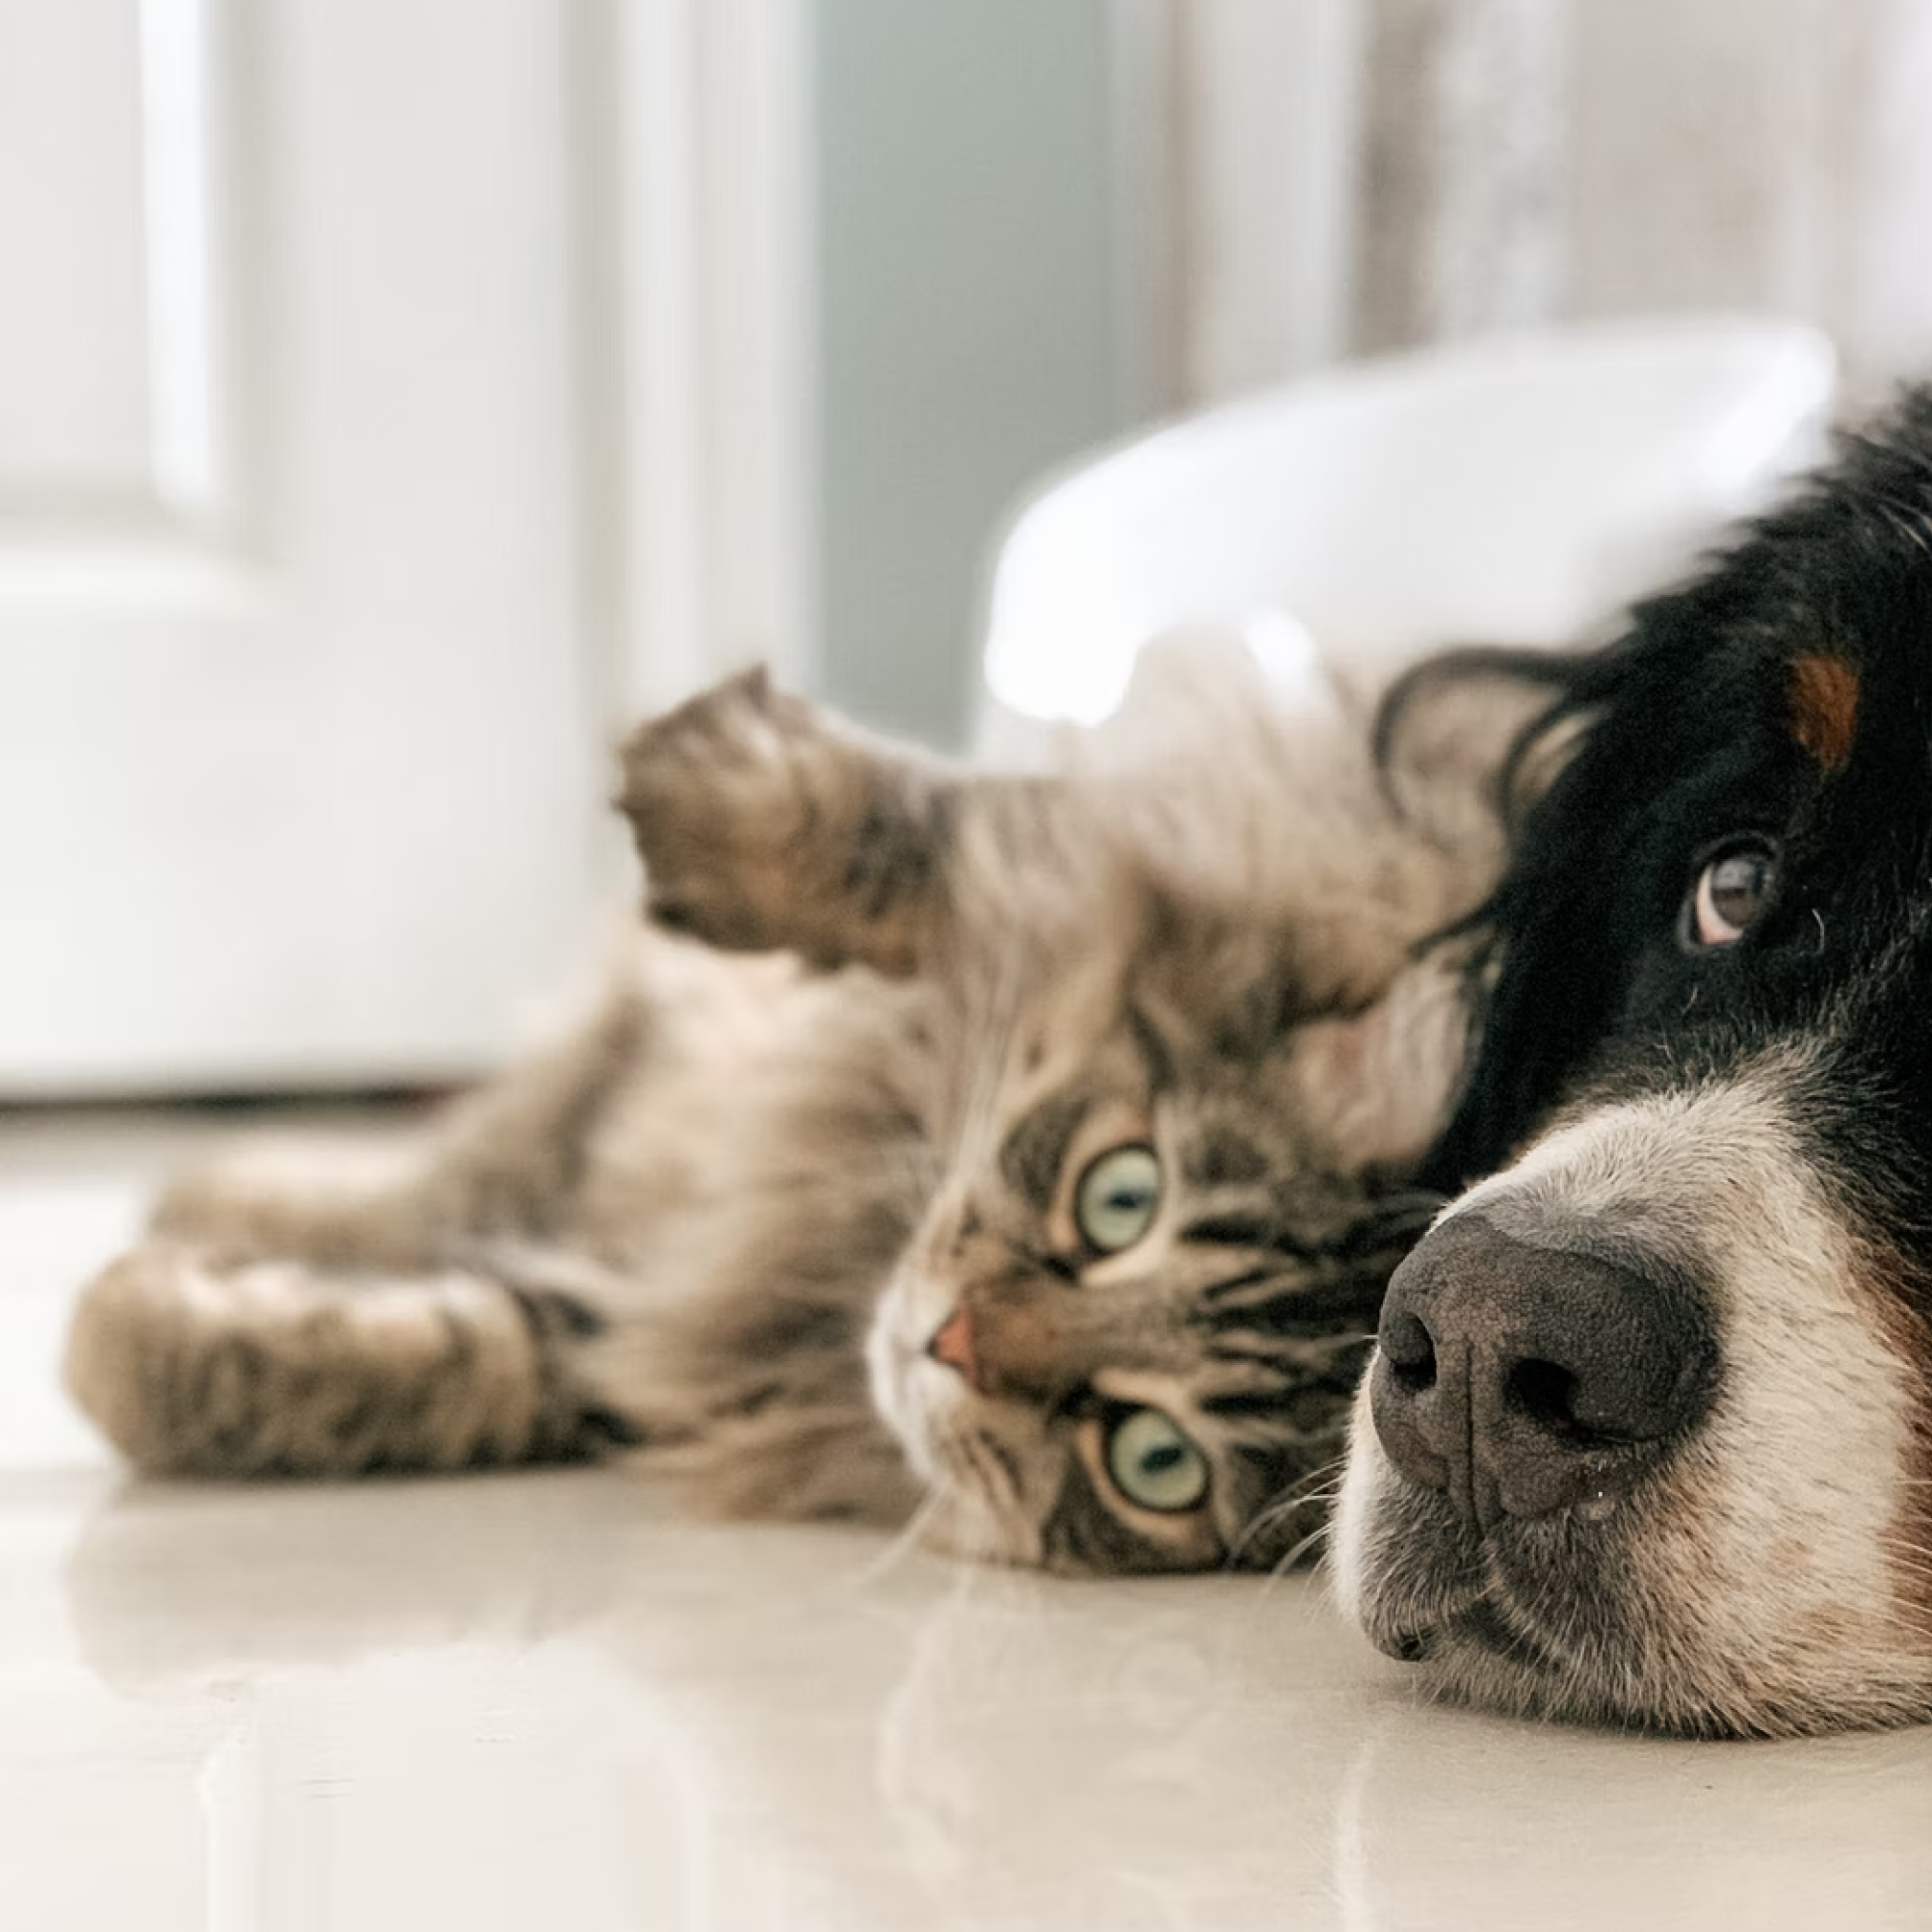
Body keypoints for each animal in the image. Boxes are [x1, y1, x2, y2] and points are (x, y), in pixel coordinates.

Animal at [71, 648, 1491, 1569]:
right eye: (1119, 1197)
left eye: (1153, 1460)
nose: (949, 1345)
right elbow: (938, 838)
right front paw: (713, 786)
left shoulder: (642, 1341)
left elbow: (443, 1355)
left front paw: (122, 1335)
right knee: (446, 1167)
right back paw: (217, 1184)